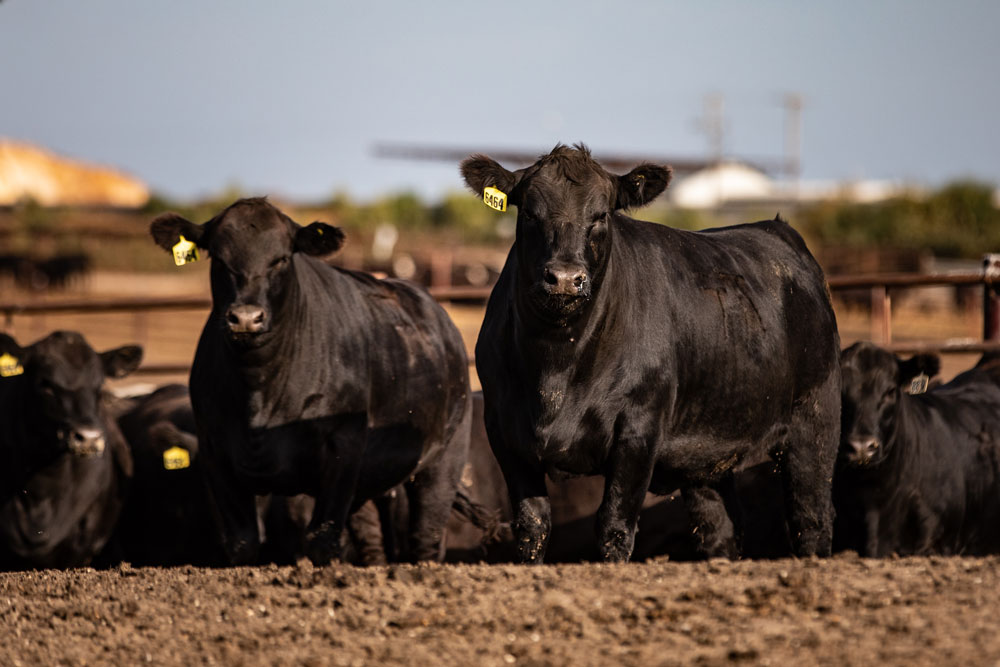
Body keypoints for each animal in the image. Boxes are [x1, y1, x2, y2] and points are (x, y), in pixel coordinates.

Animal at [150, 197, 474, 564]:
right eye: (219, 259)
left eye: (281, 259)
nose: (246, 318)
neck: (258, 388)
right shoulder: (215, 453)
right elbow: (243, 544)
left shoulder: (343, 448)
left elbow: (322, 540)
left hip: (443, 461)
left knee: (426, 537)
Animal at [464, 145, 840, 564]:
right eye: (529, 212)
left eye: (601, 215)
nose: (564, 279)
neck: (555, 367)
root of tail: (778, 232)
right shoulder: (504, 432)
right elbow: (532, 529)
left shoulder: (639, 429)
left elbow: (614, 527)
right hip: (708, 451)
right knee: (720, 528)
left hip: (815, 419)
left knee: (811, 517)